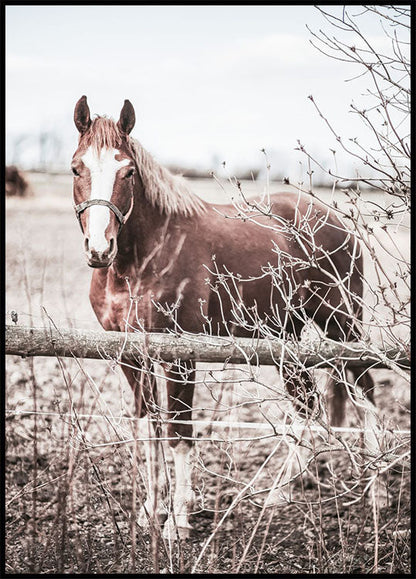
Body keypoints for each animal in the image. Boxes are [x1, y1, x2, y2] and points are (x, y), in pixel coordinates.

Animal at [71, 94, 376, 540]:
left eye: (127, 171)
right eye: (76, 167)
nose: (99, 248)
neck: (141, 259)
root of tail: (337, 222)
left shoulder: (180, 357)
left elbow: (179, 432)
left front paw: (178, 520)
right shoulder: (129, 354)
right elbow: (148, 429)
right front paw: (149, 511)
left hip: (342, 324)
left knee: (365, 392)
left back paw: (378, 491)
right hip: (286, 337)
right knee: (306, 404)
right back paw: (279, 494)